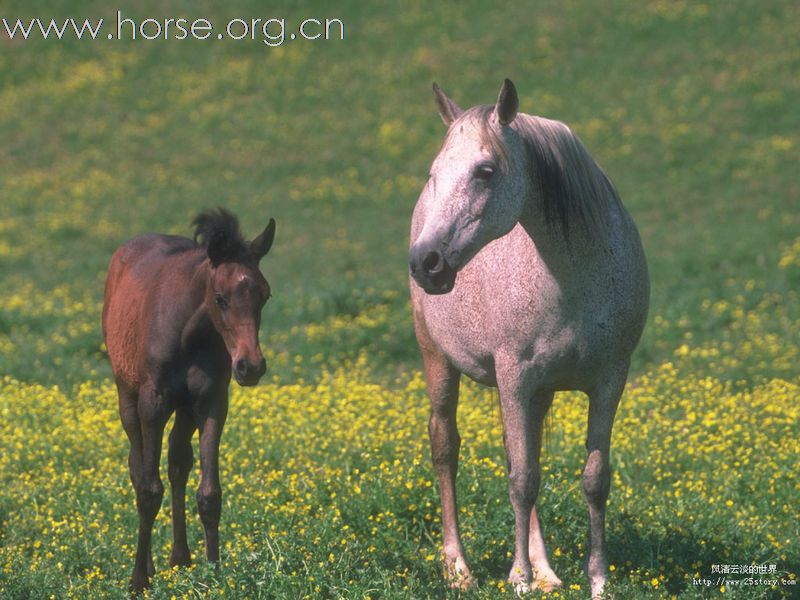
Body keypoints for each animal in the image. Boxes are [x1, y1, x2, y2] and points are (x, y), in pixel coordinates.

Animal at [410, 78, 648, 596]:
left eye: (485, 171)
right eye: (435, 173)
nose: (426, 262)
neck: (574, 279)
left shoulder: (608, 380)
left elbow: (592, 478)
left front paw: (597, 579)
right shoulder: (515, 377)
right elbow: (521, 481)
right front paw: (517, 579)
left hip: (536, 393)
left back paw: (546, 571)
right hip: (439, 359)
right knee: (446, 447)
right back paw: (459, 567)